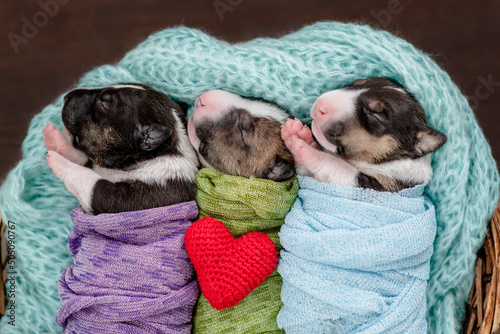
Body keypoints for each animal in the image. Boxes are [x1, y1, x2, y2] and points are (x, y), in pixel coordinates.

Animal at [43, 83, 199, 214]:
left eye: (103, 105)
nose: (66, 97)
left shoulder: (125, 199)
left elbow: (87, 179)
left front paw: (58, 161)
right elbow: (84, 160)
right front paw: (56, 139)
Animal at [282, 78, 450, 192]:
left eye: (375, 115)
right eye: (354, 83)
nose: (319, 105)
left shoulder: (380, 188)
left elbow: (335, 165)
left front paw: (309, 152)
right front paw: (297, 134)